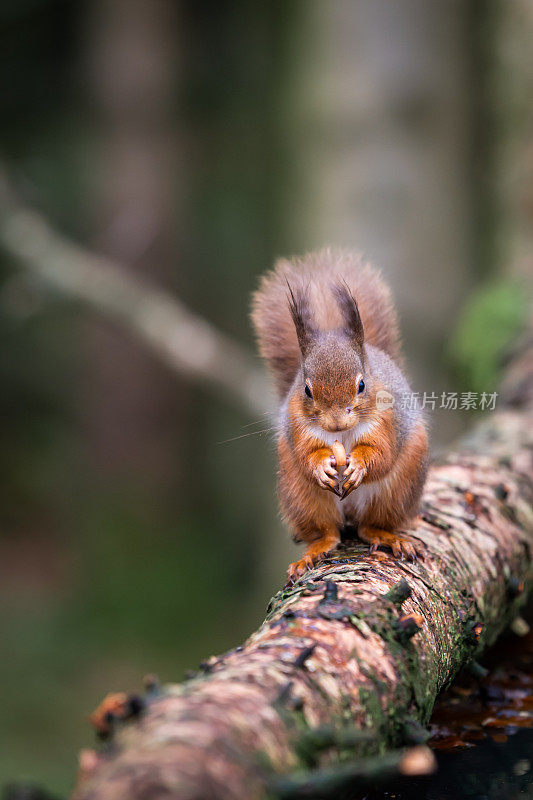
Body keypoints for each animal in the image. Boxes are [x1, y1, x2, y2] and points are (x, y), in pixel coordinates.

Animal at [250, 247, 428, 584]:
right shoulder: (298, 428)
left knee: (369, 526)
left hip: (397, 492)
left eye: (361, 385)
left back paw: (389, 537)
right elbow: (307, 454)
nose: (335, 423)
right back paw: (312, 553)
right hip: (302, 497)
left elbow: (382, 453)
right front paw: (321, 465)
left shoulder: (389, 421)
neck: (342, 437)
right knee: (328, 532)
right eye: (307, 390)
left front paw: (359, 464)